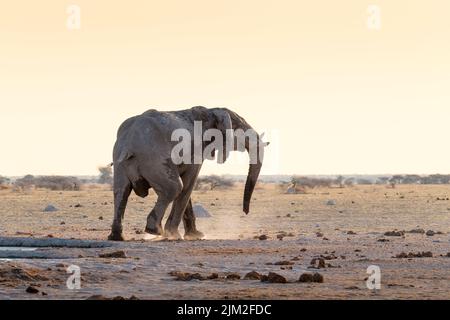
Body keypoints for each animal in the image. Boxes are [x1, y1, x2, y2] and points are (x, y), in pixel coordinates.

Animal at [107, 106, 268, 241]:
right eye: (240, 127)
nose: (245, 212)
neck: (212, 111)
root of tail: (129, 143)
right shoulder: (196, 150)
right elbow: (188, 184)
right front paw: (174, 235)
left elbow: (187, 188)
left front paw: (196, 235)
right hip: (154, 159)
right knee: (174, 188)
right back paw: (155, 230)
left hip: (121, 161)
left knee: (121, 191)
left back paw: (116, 237)